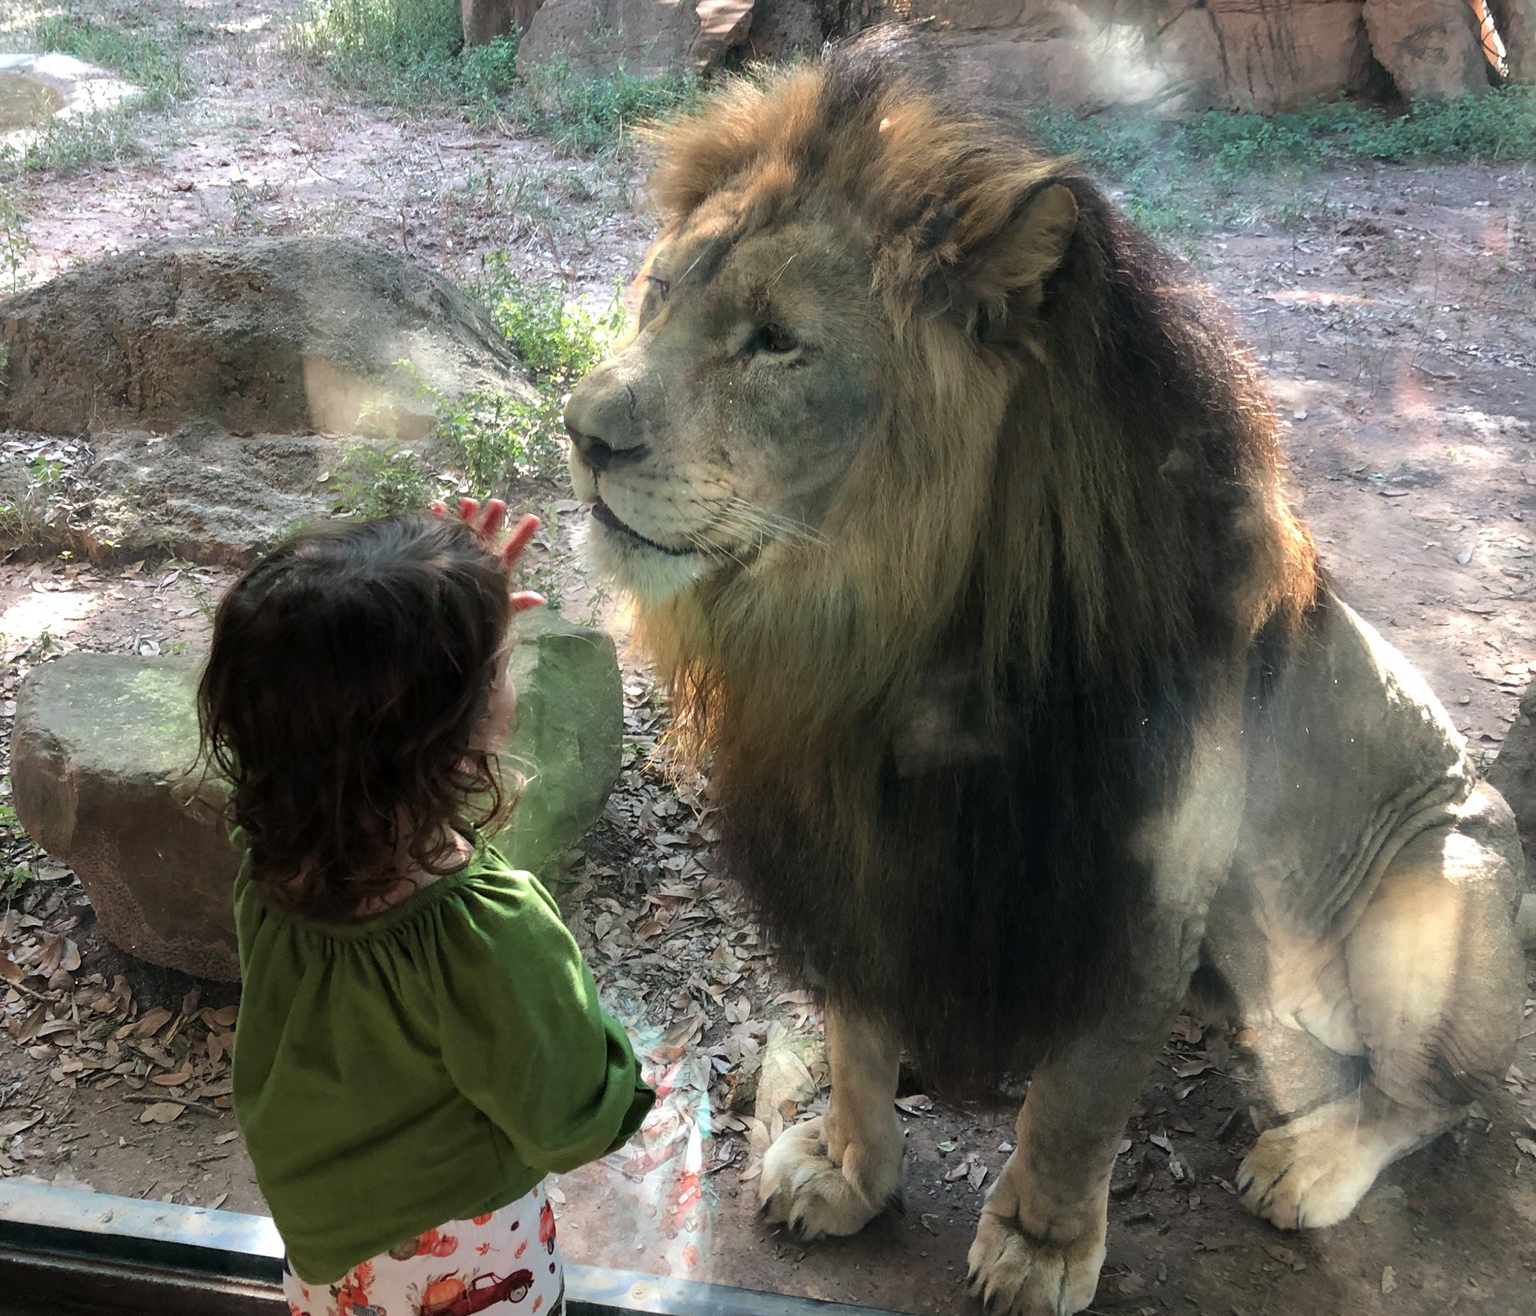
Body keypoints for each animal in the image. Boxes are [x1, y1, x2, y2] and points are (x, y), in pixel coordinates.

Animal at [559, 28, 1529, 1314]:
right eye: (659, 293)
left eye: (774, 339)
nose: (581, 432)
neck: (875, 647)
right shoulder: (851, 847)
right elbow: (859, 1035)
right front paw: (849, 1167)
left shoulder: (1138, 879)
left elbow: (1077, 1099)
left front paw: (1037, 1244)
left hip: (1443, 867)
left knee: (1438, 1092)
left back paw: (1308, 1156)